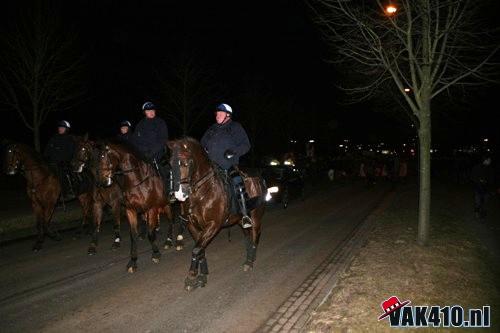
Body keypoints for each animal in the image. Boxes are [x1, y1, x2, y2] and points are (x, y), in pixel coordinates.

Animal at [95, 139, 174, 272]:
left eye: (103, 157)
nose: (103, 182)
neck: (137, 181)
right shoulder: (130, 211)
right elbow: (133, 235)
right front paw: (133, 261)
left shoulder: (151, 209)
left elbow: (150, 233)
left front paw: (156, 253)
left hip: (167, 205)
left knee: (171, 221)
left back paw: (170, 240)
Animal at [168, 136, 268, 290]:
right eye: (170, 163)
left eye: (186, 163)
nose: (179, 194)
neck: (202, 193)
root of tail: (259, 177)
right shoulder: (193, 226)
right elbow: (200, 249)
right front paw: (202, 276)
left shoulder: (213, 225)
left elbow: (196, 250)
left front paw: (191, 277)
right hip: (240, 220)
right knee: (247, 236)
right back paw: (249, 256)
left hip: (256, 216)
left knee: (255, 235)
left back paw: (250, 261)